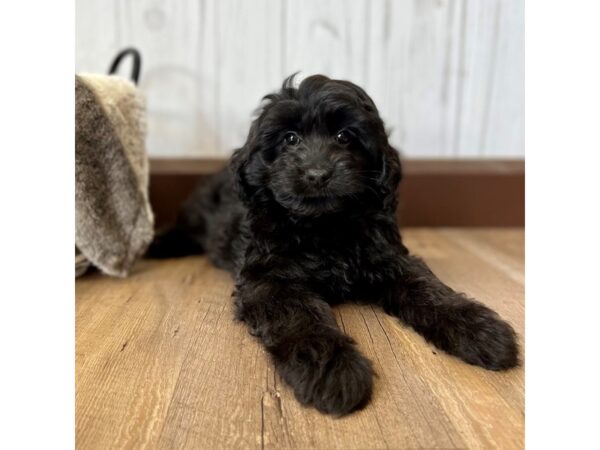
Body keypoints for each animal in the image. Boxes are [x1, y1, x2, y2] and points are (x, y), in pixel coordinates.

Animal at [148, 74, 516, 414]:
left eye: (344, 137)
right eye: (290, 138)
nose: (317, 174)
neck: (323, 225)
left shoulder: (387, 256)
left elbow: (425, 286)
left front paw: (479, 328)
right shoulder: (269, 279)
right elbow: (300, 317)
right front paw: (332, 371)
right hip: (198, 210)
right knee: (187, 228)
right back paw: (158, 245)